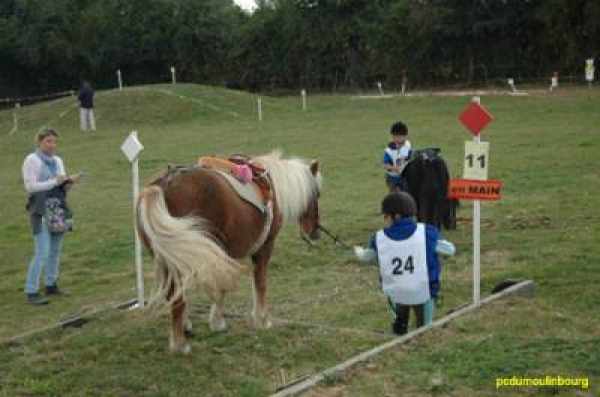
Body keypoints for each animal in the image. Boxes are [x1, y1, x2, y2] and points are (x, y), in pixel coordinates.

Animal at [137, 151, 324, 352]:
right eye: (317, 194)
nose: (315, 232)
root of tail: (164, 184)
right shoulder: (263, 248)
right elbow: (258, 284)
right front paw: (260, 320)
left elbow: (225, 286)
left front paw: (215, 321)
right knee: (177, 297)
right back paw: (180, 344)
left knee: (174, 293)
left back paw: (183, 330)